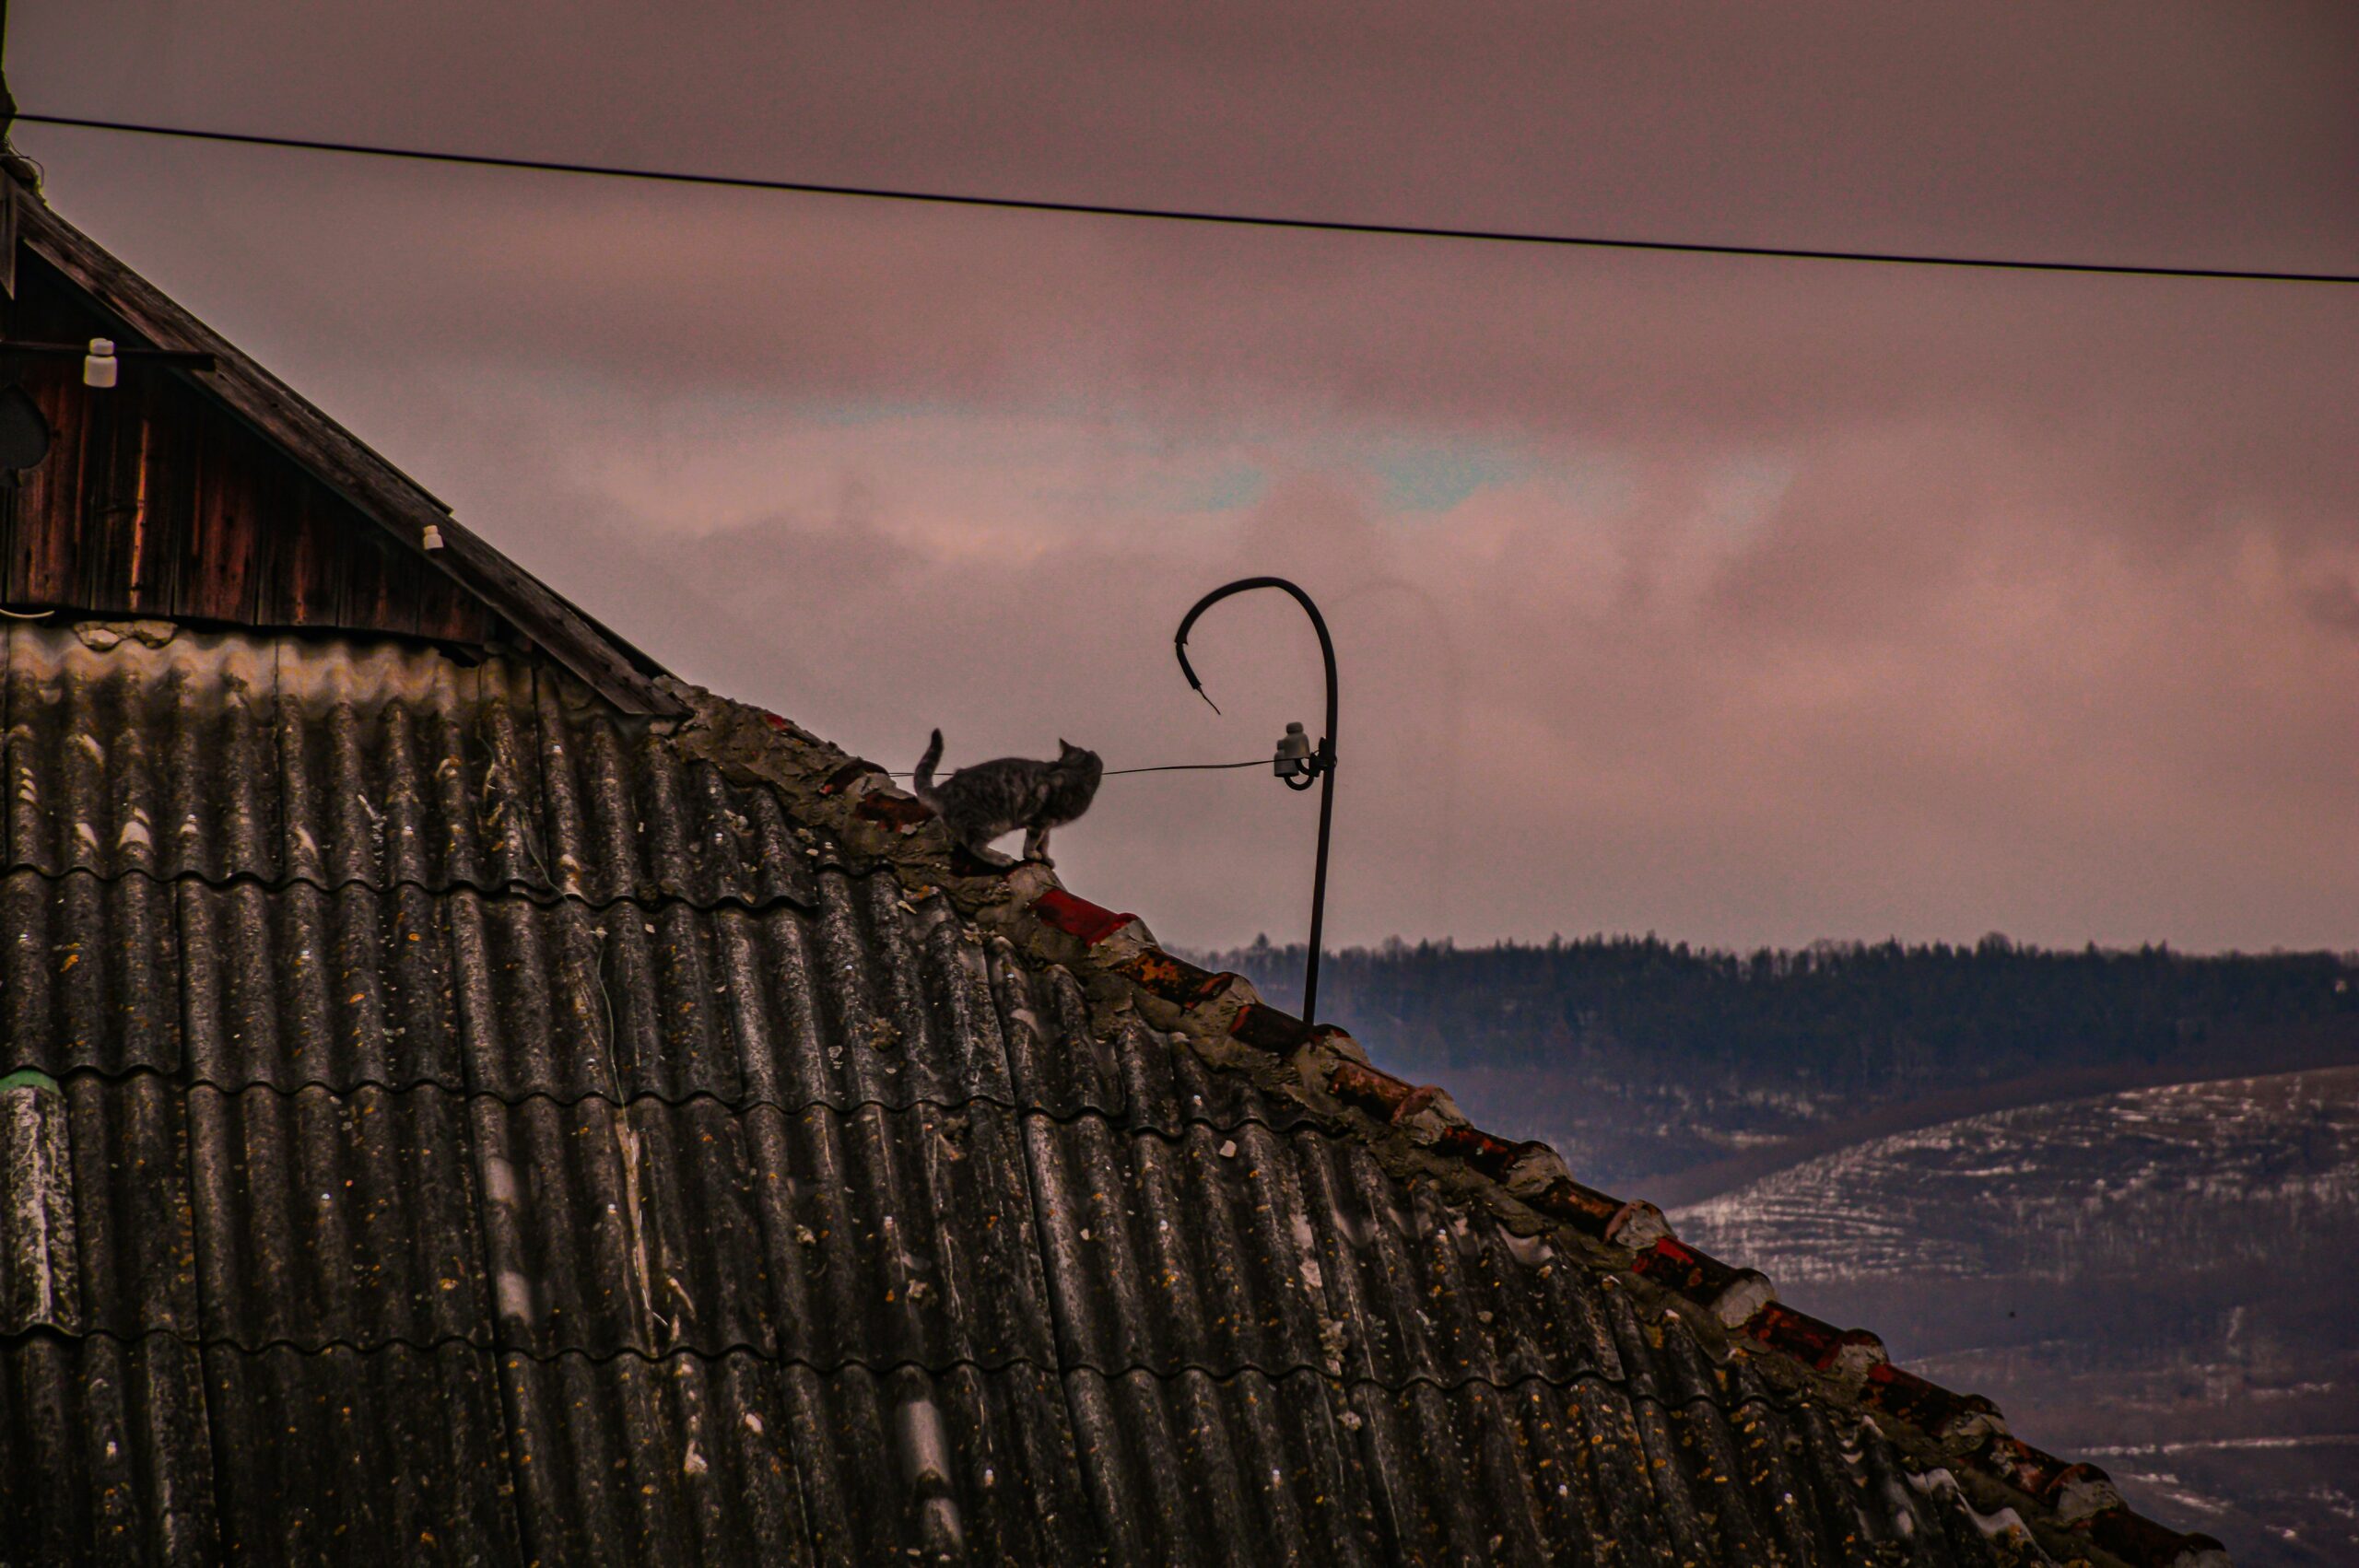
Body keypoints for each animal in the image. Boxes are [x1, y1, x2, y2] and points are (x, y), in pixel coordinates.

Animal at [915, 731, 1109, 867]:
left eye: (1058, 760)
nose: (1056, 765)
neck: (1075, 771)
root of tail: (942, 790)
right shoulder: (1040, 820)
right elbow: (1033, 841)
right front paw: (1031, 854)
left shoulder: (1046, 825)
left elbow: (1045, 842)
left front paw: (1046, 858)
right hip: (989, 823)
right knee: (974, 845)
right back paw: (999, 858)